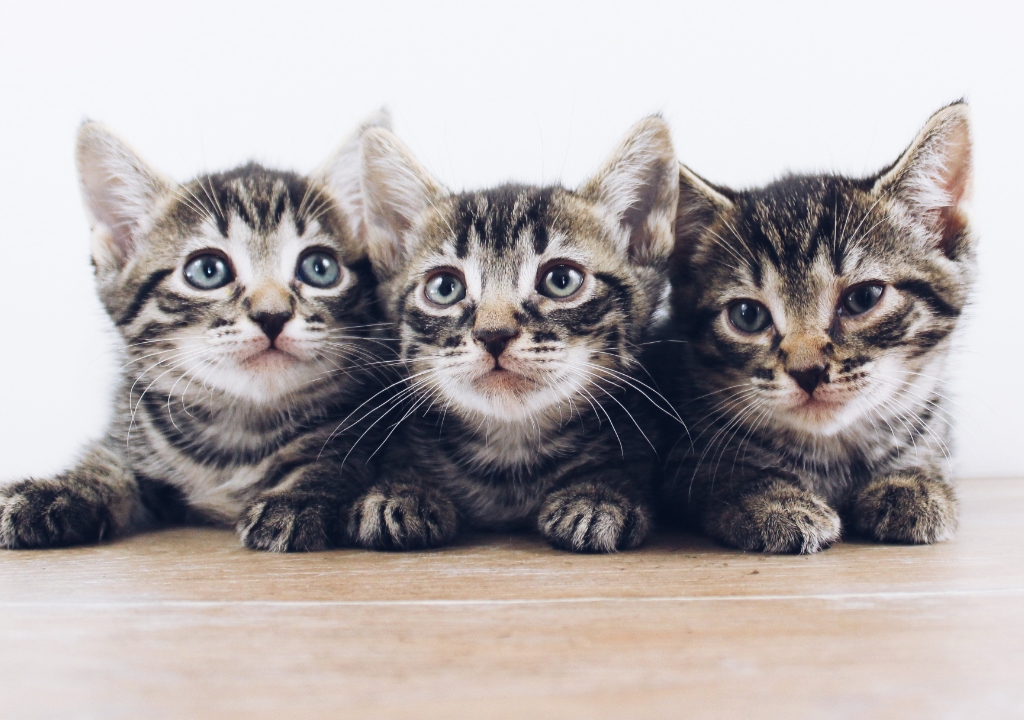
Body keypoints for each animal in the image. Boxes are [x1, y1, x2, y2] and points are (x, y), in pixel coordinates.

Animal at [1, 114, 391, 553]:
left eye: (320, 268)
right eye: (208, 271)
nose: (271, 315)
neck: (238, 431)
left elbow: (334, 462)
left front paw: (298, 495)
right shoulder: (133, 432)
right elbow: (108, 464)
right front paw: (58, 490)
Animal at [346, 116, 679, 553]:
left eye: (561, 279)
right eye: (444, 288)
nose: (493, 334)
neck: (511, 457)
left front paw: (600, 493)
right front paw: (401, 490)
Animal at [659, 102, 970, 553]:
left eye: (864, 298)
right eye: (747, 315)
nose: (807, 372)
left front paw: (912, 484)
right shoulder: (679, 454)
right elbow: (718, 476)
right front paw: (772, 501)